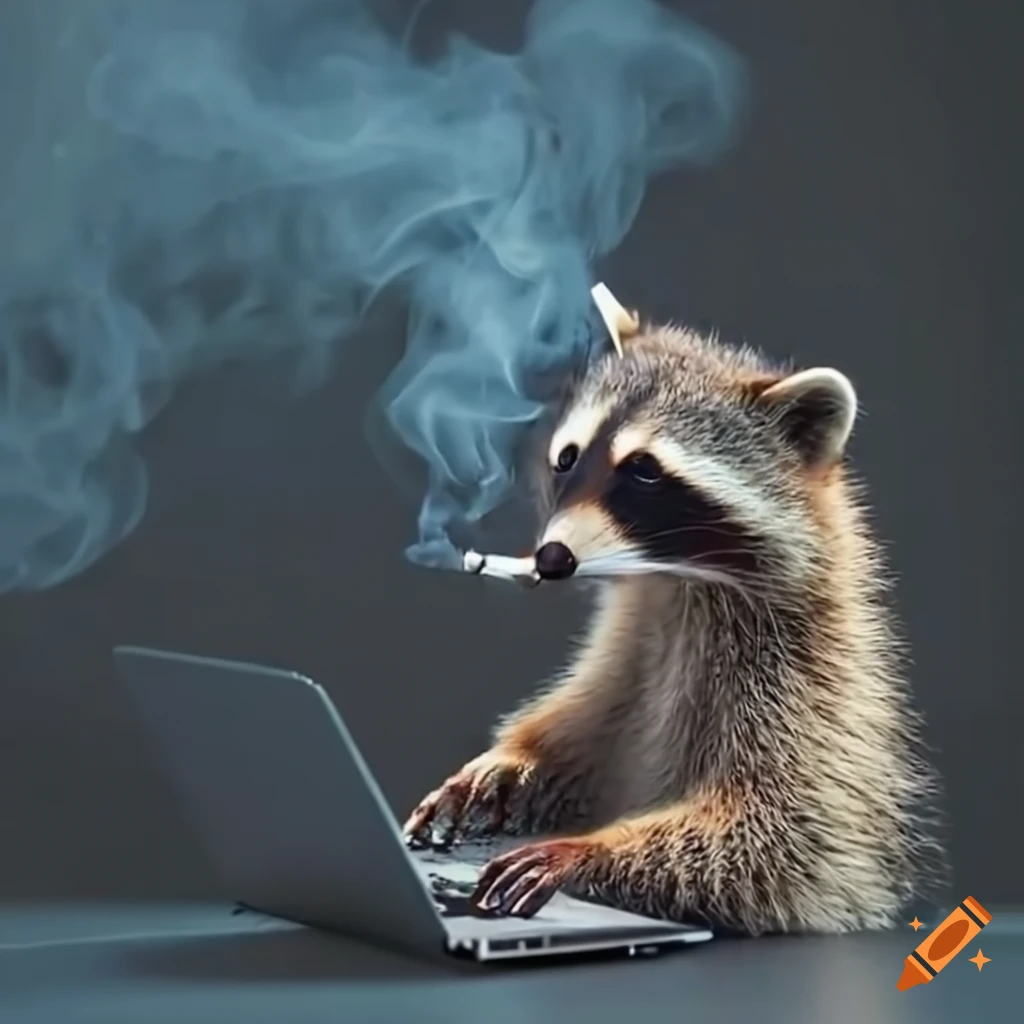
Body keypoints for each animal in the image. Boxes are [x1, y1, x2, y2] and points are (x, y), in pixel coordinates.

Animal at [404, 321, 944, 935]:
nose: (550, 559)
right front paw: (512, 759)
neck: (673, 580)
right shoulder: (628, 656)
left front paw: (585, 850)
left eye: (644, 470)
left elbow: (774, 840)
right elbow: (578, 729)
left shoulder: (808, 693)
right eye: (568, 458)